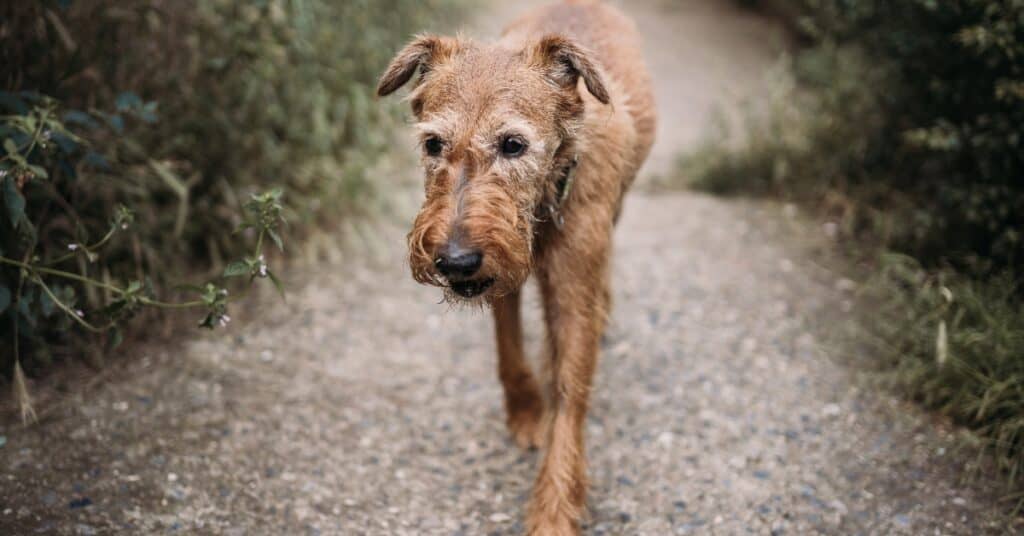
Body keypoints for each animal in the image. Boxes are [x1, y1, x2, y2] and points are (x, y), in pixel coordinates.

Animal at [378, 2, 655, 532]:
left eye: (512, 144)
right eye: (432, 144)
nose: (453, 260)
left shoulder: (572, 287)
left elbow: (570, 391)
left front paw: (553, 512)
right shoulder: (497, 272)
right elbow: (508, 347)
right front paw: (526, 412)